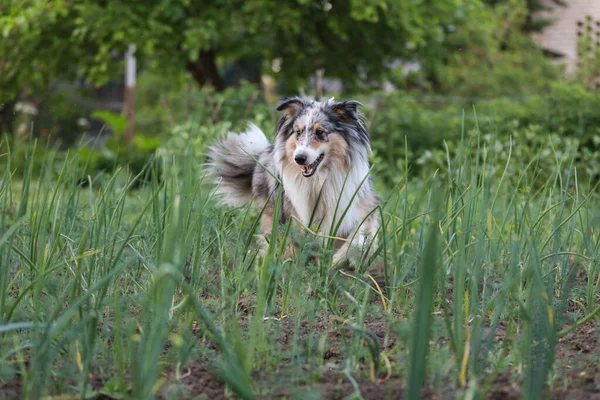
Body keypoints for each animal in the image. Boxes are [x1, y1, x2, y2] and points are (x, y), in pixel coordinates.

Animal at [206, 97, 380, 264]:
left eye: (320, 132)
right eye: (298, 132)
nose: (299, 158)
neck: (319, 180)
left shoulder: (360, 206)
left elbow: (361, 235)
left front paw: (340, 259)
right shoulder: (296, 215)